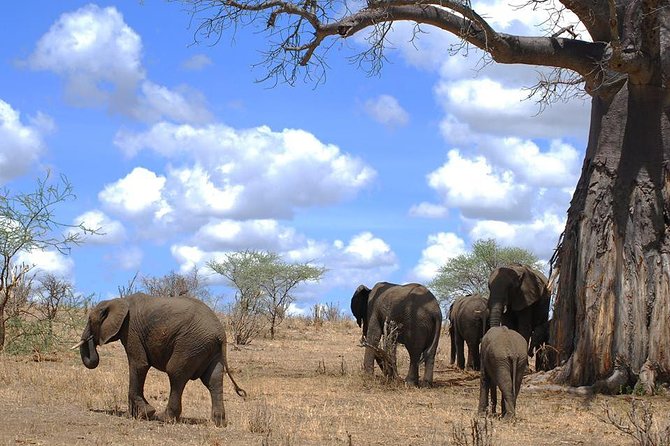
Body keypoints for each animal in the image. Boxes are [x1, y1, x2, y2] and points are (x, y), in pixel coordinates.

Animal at [73, 293, 246, 427]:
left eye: (90, 320)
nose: (90, 339)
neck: (117, 300)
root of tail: (220, 334)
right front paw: (135, 415)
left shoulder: (131, 330)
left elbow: (139, 365)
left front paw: (146, 413)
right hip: (210, 349)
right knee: (213, 380)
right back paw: (218, 423)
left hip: (190, 344)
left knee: (176, 373)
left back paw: (165, 418)